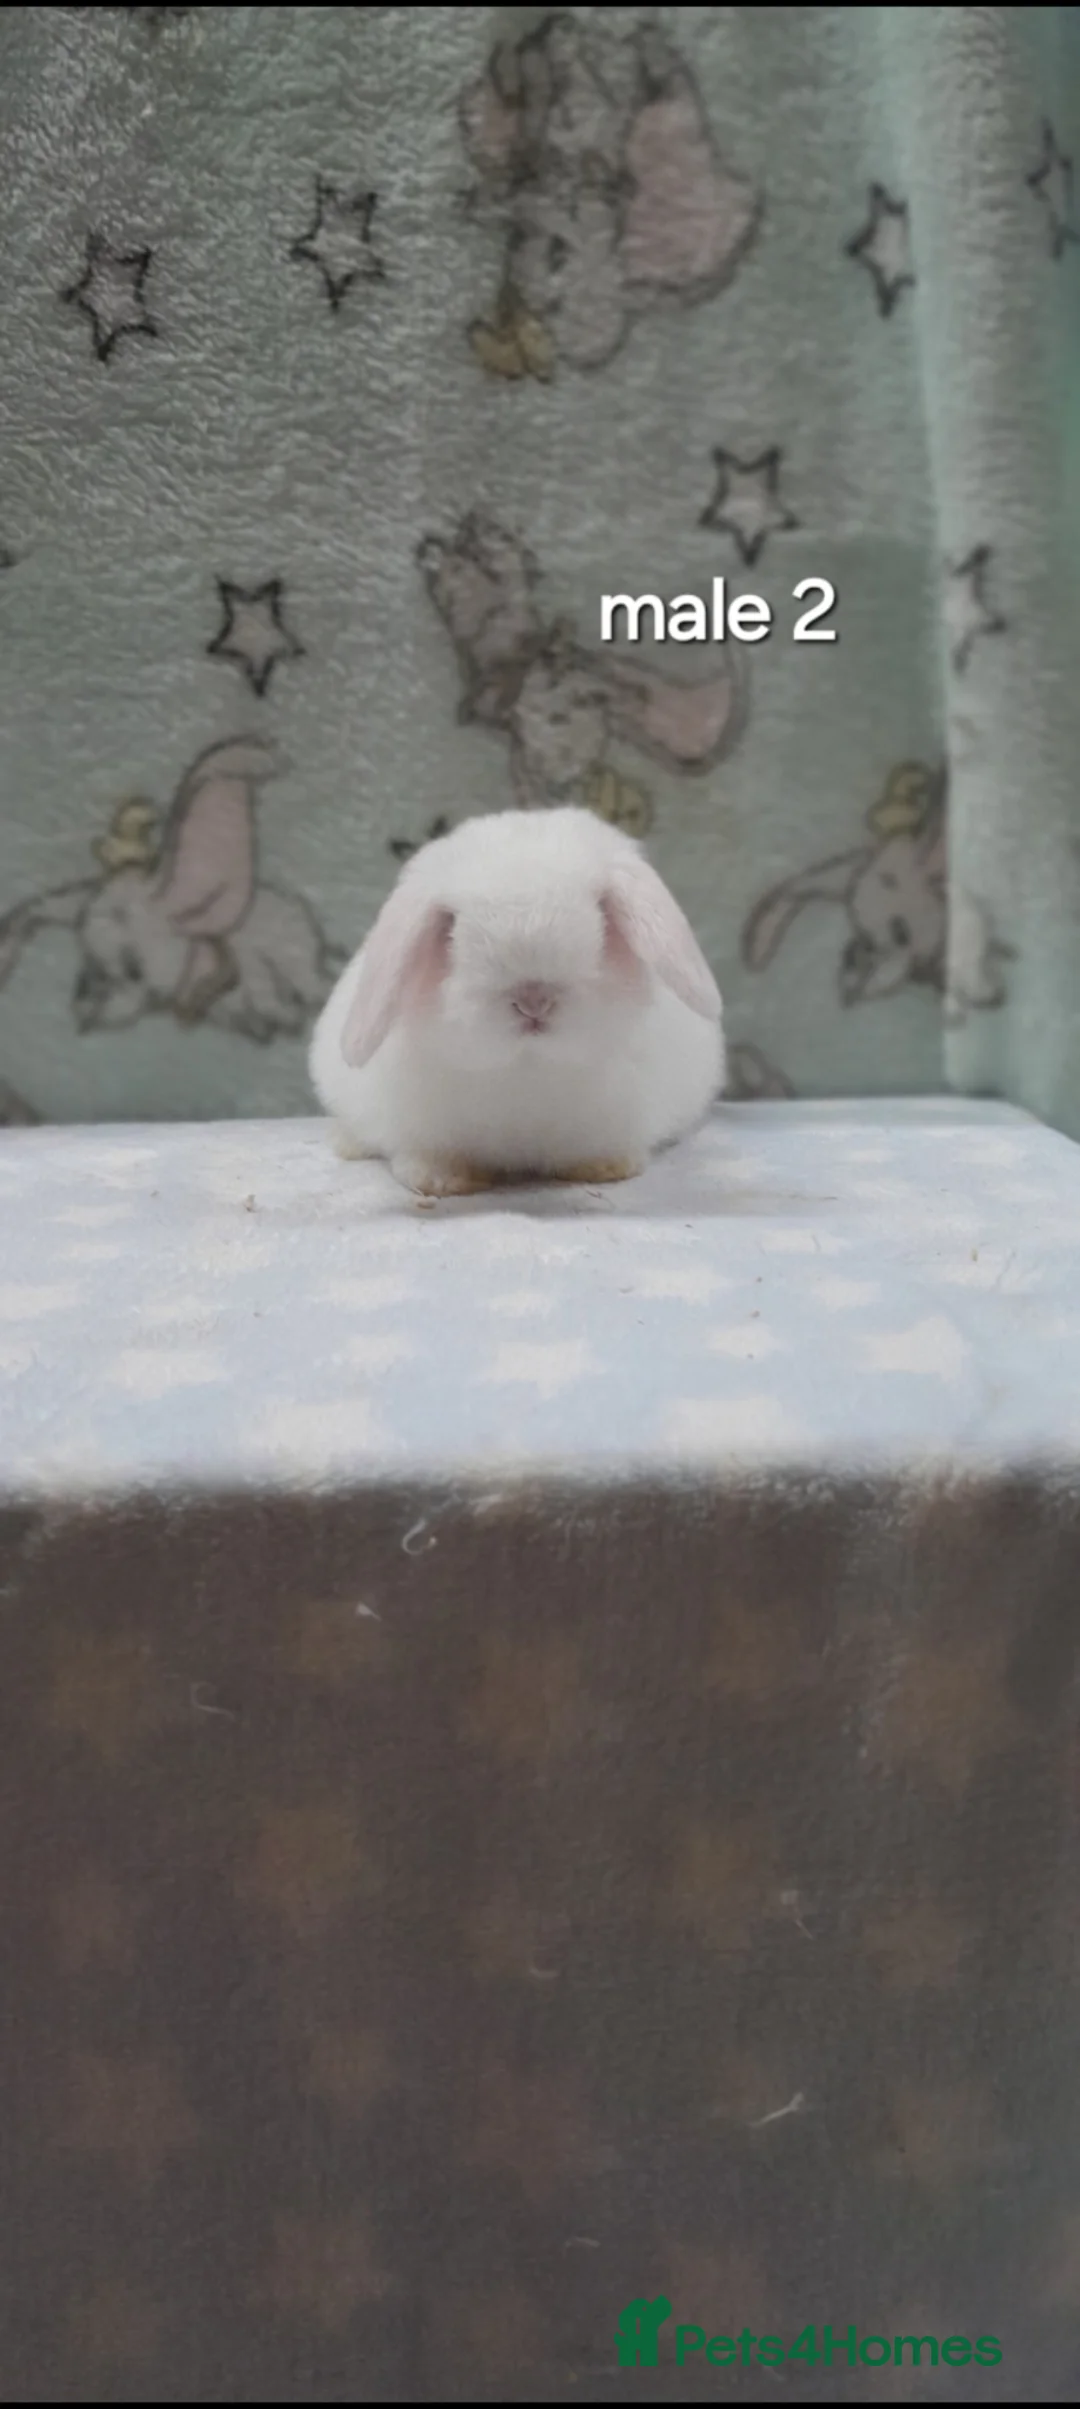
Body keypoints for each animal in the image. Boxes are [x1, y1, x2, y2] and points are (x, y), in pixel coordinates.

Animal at [309, 806, 724, 1197]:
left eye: (602, 913)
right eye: (450, 927)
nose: (533, 1000)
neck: (527, 1068)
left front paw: (604, 1169)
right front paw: (441, 1181)